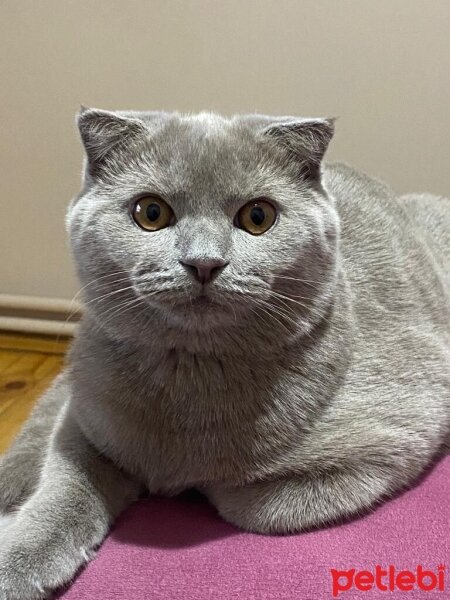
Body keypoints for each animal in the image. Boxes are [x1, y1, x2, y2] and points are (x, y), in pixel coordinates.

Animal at [0, 109, 450, 600]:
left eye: (258, 216)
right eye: (150, 213)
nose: (204, 262)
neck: (187, 376)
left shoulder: (394, 438)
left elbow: (241, 501)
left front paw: (189, 482)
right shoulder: (83, 419)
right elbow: (65, 483)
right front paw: (18, 560)